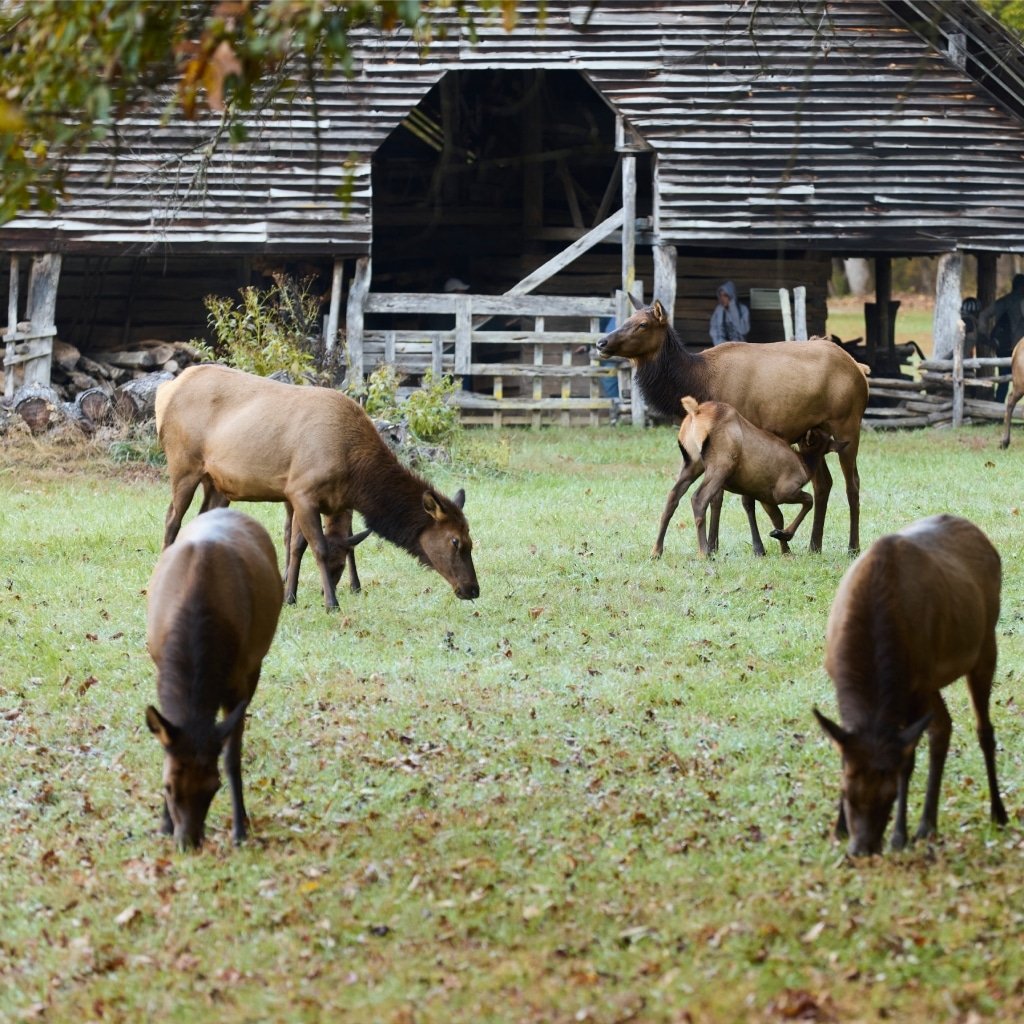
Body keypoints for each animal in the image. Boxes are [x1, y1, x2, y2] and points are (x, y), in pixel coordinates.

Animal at [145, 508, 283, 851]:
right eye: (168, 786)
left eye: (213, 786)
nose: (188, 842)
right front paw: (163, 825)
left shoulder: (238, 680)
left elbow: (232, 757)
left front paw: (240, 829)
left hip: (257, 661)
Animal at [155, 364, 479, 610]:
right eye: (455, 541)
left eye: (471, 540)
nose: (473, 589)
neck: (355, 475)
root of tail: (168, 390)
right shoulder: (302, 491)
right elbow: (318, 548)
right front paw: (331, 603)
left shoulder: (309, 498)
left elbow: (300, 545)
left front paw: (291, 596)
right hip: (183, 464)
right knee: (172, 520)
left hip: (218, 483)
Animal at [654, 396, 847, 557]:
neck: (805, 465)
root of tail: (695, 412)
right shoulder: (783, 491)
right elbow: (808, 500)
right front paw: (784, 536)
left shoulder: (764, 495)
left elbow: (777, 516)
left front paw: (784, 547)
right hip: (721, 464)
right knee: (698, 498)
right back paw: (704, 553)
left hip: (691, 463)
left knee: (673, 496)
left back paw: (656, 551)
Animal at [814, 514, 1008, 857]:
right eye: (847, 792)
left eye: (890, 796)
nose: (862, 849)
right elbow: (845, 748)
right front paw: (838, 828)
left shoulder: (917, 683)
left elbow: (907, 759)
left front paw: (898, 836)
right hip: (933, 681)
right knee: (943, 726)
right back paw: (928, 825)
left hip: (984, 647)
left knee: (983, 730)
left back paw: (997, 813)